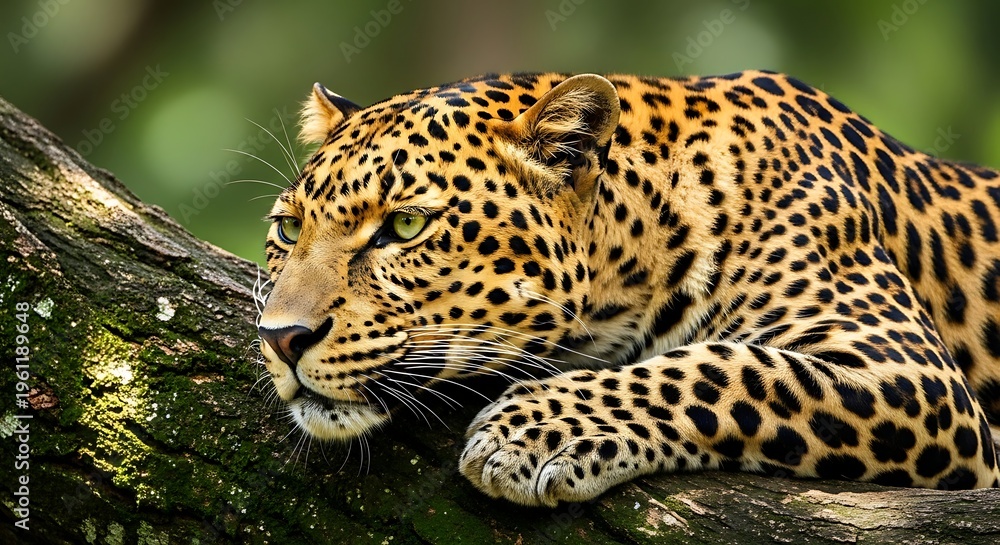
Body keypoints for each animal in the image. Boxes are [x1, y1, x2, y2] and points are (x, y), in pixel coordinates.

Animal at [256, 70, 1000, 507]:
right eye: (288, 228)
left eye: (405, 224)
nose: (282, 338)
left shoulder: (914, 375)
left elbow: (726, 367)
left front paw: (529, 433)